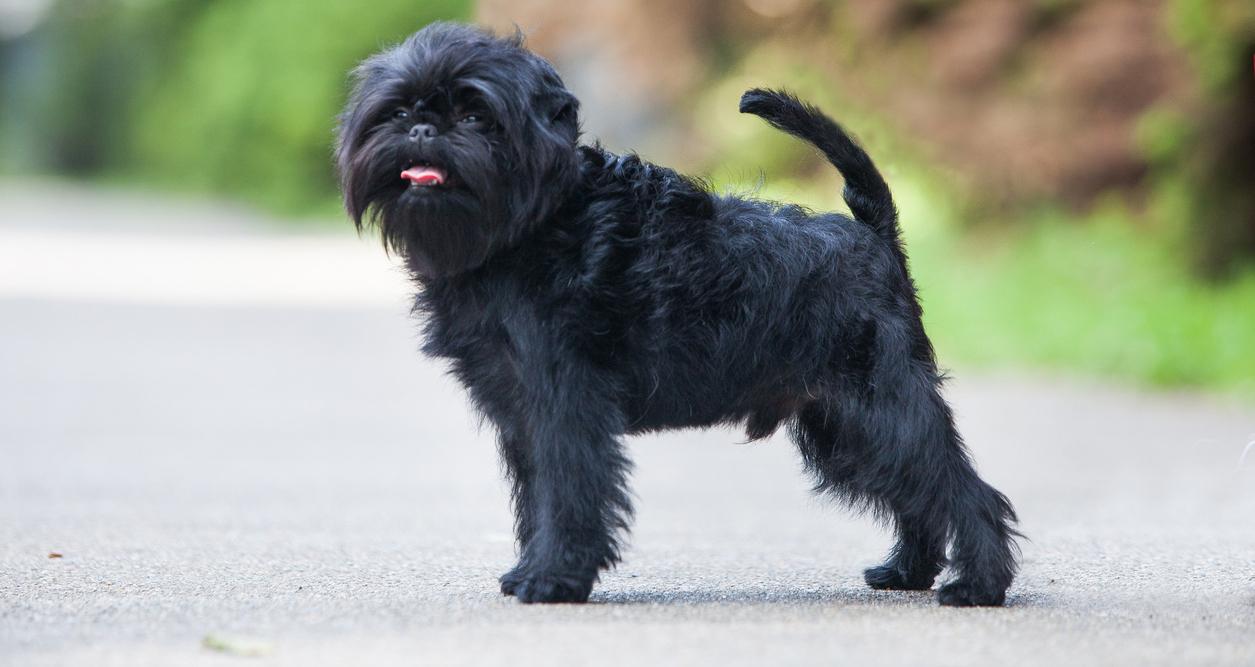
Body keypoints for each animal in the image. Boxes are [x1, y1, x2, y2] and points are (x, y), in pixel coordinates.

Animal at [336, 22, 1019, 605]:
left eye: (476, 114)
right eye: (399, 111)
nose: (424, 130)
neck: (530, 223)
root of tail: (872, 233)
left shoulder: (565, 403)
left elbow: (568, 493)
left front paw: (553, 579)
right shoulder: (522, 412)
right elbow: (536, 499)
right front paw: (533, 568)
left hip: (878, 401)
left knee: (961, 487)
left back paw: (977, 585)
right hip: (841, 423)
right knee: (916, 489)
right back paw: (908, 571)